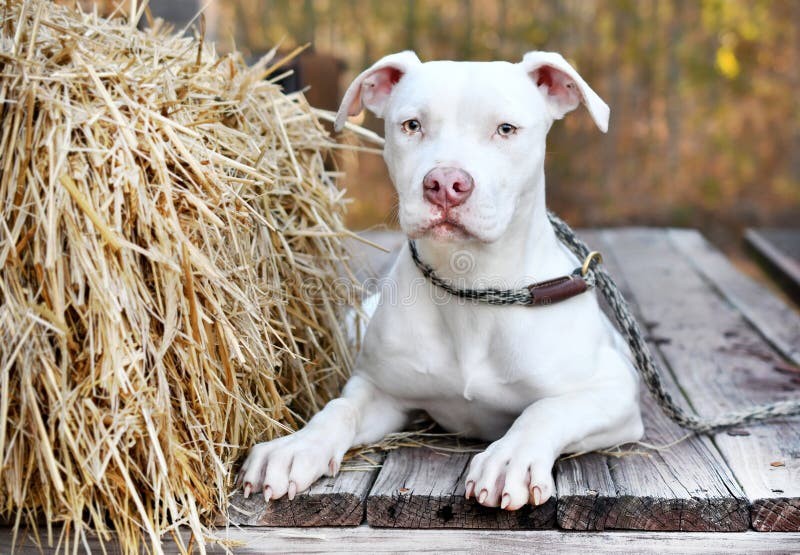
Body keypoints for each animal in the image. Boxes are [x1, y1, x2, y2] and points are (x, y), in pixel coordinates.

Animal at [238, 52, 644, 512]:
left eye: (506, 129)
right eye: (412, 125)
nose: (446, 184)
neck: (472, 285)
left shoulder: (614, 389)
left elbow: (545, 411)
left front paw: (511, 458)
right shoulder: (380, 389)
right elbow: (340, 408)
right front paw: (298, 446)